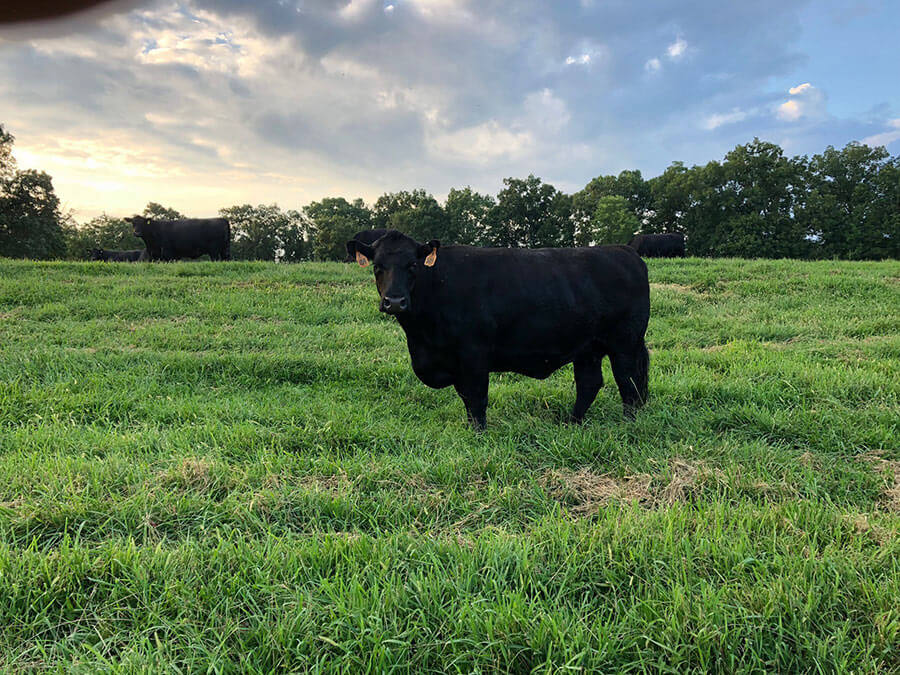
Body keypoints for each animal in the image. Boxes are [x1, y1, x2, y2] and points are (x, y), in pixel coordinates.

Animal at [348, 230, 652, 430]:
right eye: (377, 266)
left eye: (412, 265)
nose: (395, 301)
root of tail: (625, 252)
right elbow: (466, 398)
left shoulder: (474, 354)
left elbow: (476, 397)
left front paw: (478, 433)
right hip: (588, 347)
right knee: (589, 383)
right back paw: (572, 423)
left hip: (625, 343)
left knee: (629, 384)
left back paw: (628, 425)